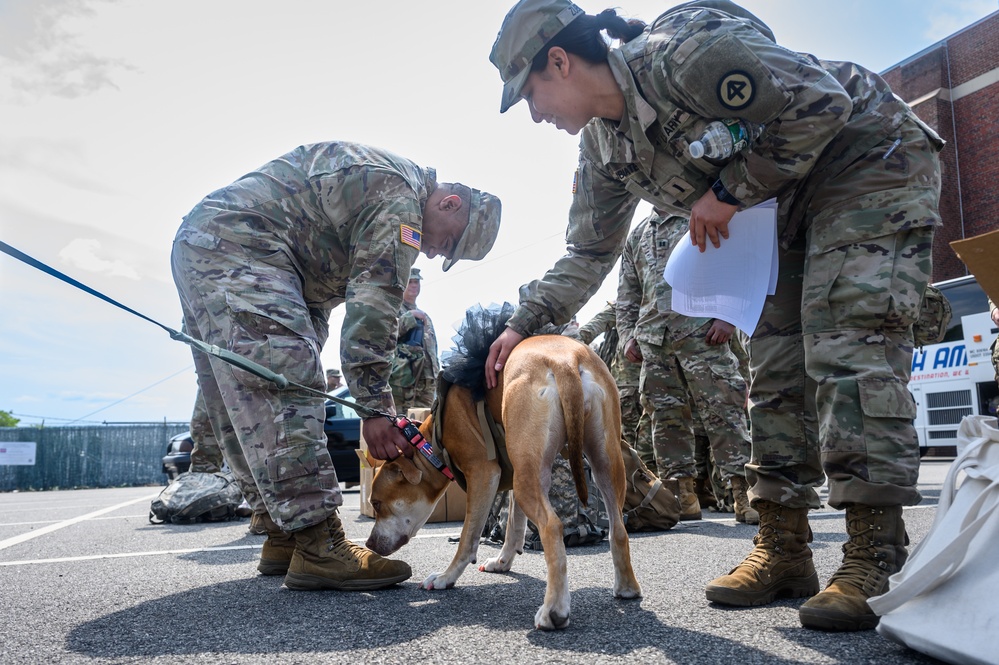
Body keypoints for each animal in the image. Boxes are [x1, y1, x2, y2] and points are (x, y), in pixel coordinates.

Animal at [366, 334, 640, 632]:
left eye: (377, 503)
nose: (368, 544)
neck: (431, 443)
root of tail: (564, 360)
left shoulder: (483, 474)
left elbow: (468, 537)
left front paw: (446, 578)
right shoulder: (518, 471)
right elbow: (514, 526)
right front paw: (502, 562)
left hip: (532, 477)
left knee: (552, 526)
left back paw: (554, 611)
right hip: (598, 463)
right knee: (618, 528)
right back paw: (627, 587)